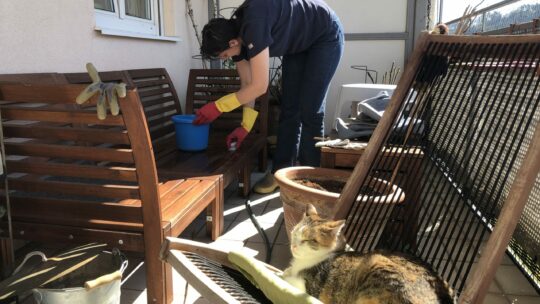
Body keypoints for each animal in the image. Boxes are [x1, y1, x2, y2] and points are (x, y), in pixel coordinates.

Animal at [282, 204, 456, 304]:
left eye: (308, 240)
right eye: (294, 233)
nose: (294, 245)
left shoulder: (309, 288)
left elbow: (288, 279)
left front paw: (284, 276)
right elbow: (287, 272)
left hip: (376, 263)